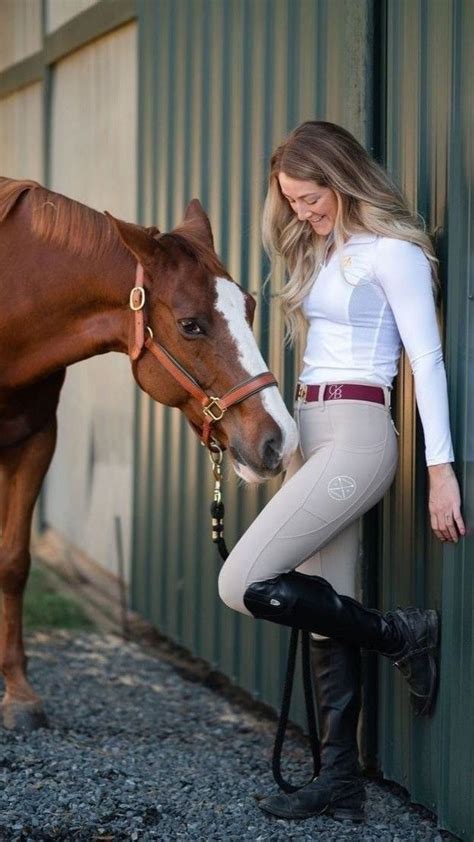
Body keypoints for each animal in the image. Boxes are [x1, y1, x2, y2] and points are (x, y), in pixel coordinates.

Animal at [0, 177, 296, 728]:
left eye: (248, 306)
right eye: (191, 324)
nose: (279, 440)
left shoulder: (37, 441)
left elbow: (13, 561)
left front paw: (20, 693)